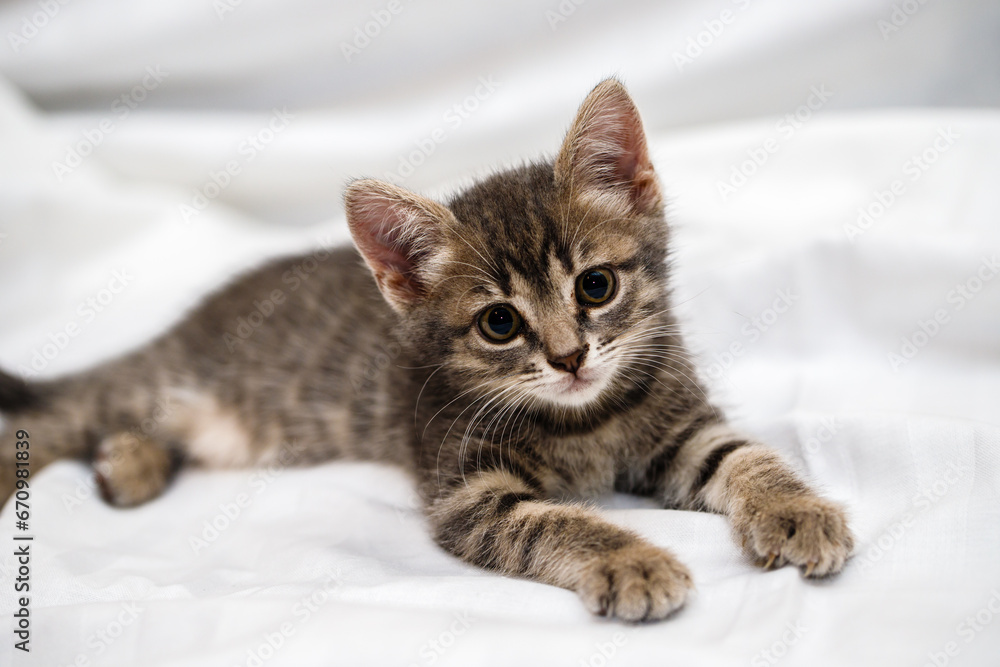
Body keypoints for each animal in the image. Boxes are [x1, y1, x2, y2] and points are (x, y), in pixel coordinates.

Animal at [0, 81, 852, 624]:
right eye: (500, 324)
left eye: (597, 284)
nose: (572, 357)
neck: (584, 422)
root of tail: (189, 322)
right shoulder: (467, 490)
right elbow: (557, 522)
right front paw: (630, 560)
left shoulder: (680, 422)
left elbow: (744, 454)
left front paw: (798, 509)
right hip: (157, 385)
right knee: (58, 418)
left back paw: (129, 465)